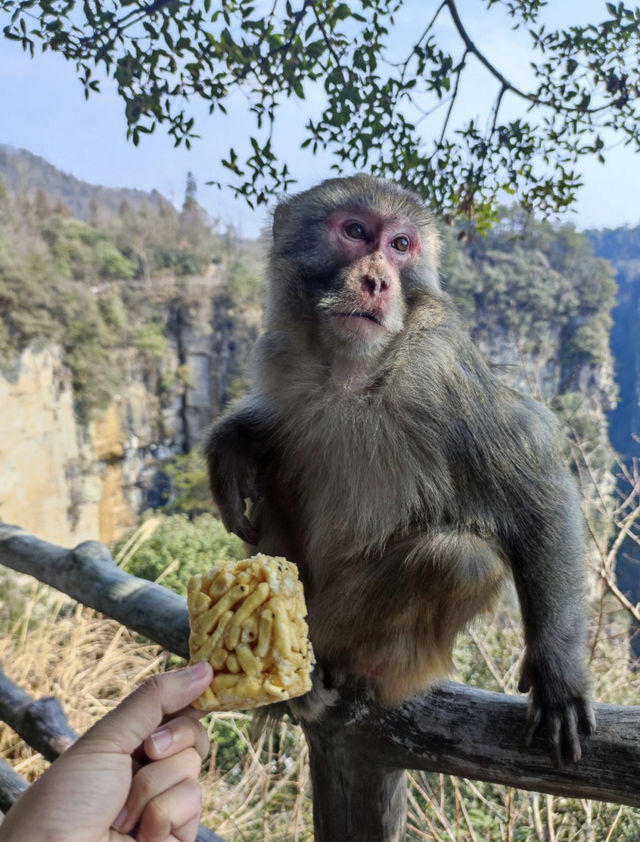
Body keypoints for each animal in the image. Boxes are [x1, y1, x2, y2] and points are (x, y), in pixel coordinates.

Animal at [204, 174, 596, 764]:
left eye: (401, 245)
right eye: (355, 232)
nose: (376, 280)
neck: (354, 371)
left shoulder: (443, 368)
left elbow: (536, 490)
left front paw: (559, 672)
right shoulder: (281, 354)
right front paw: (232, 442)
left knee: (460, 561)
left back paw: (337, 669)